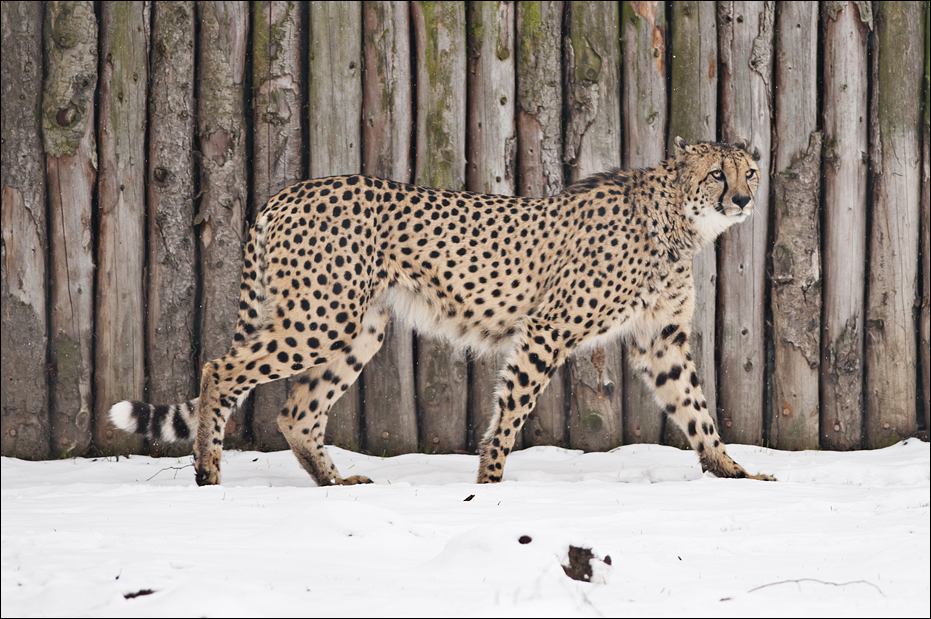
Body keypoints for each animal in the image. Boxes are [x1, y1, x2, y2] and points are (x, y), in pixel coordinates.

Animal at [110, 137, 774, 486]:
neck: (678, 221)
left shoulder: (660, 339)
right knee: (220, 370)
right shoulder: (547, 329)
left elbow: (695, 408)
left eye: (749, 171)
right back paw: (208, 474)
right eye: (717, 174)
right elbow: (511, 410)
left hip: (359, 328)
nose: (744, 199)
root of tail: (286, 191)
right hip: (319, 319)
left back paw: (335, 483)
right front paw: (490, 485)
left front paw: (736, 473)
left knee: (297, 411)